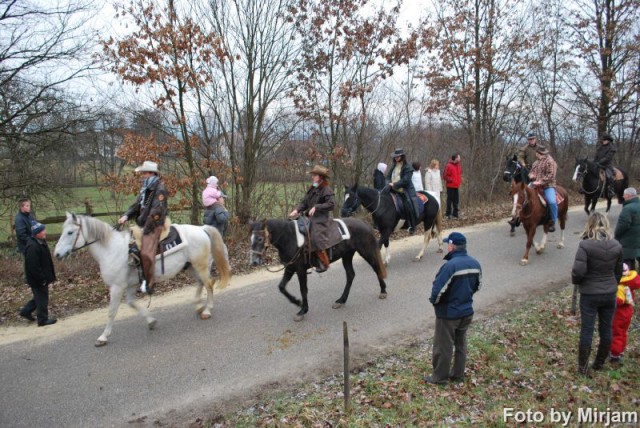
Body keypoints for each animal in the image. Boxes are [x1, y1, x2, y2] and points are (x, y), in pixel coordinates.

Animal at [54, 212, 230, 346]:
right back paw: (199, 306)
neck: (111, 249)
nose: (56, 254)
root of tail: (202, 228)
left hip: (200, 265)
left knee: (209, 284)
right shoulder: (130, 286)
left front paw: (103, 337)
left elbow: (111, 312)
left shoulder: (117, 287)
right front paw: (151, 321)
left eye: (70, 232)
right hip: (192, 266)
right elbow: (132, 304)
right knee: (202, 283)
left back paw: (207, 310)